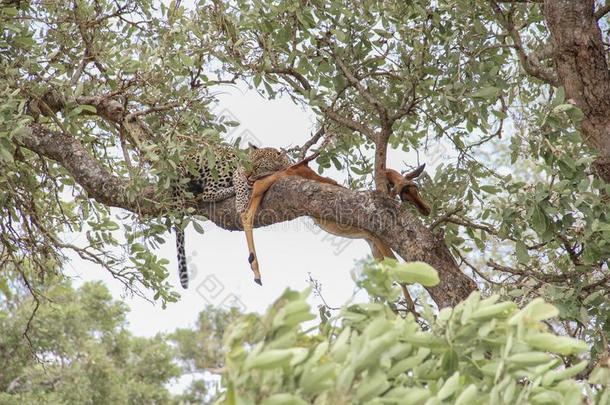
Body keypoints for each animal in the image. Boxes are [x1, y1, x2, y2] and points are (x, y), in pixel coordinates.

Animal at [175, 143, 290, 288]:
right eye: (247, 163)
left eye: (259, 167)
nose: (246, 175)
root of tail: (184, 156)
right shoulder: (237, 172)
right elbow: (240, 185)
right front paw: (241, 203)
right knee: (208, 193)